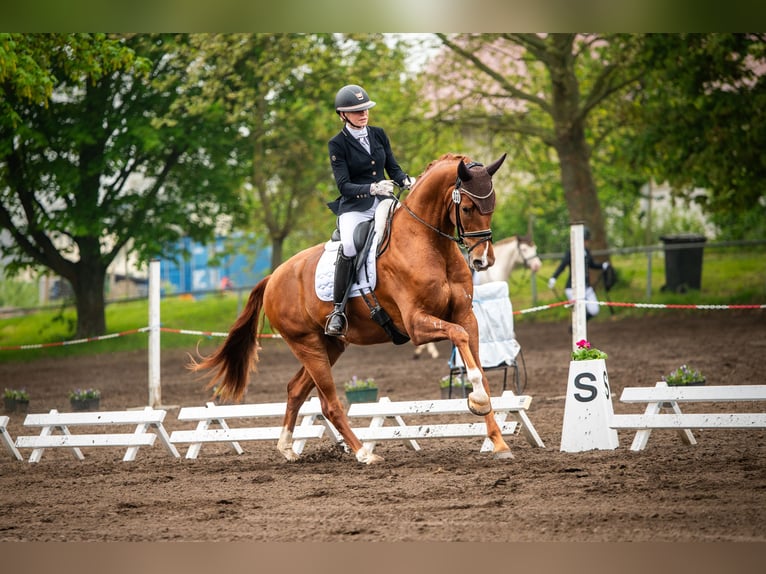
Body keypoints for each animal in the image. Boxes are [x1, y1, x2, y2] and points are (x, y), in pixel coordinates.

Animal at [191, 154, 512, 468]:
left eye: (492, 205)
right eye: (468, 208)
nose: (483, 260)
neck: (429, 244)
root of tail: (273, 277)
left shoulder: (466, 317)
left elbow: (478, 365)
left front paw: (499, 443)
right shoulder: (417, 324)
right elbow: (459, 340)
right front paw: (478, 400)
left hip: (329, 346)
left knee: (296, 389)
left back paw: (287, 448)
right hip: (307, 344)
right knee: (330, 404)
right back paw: (363, 453)